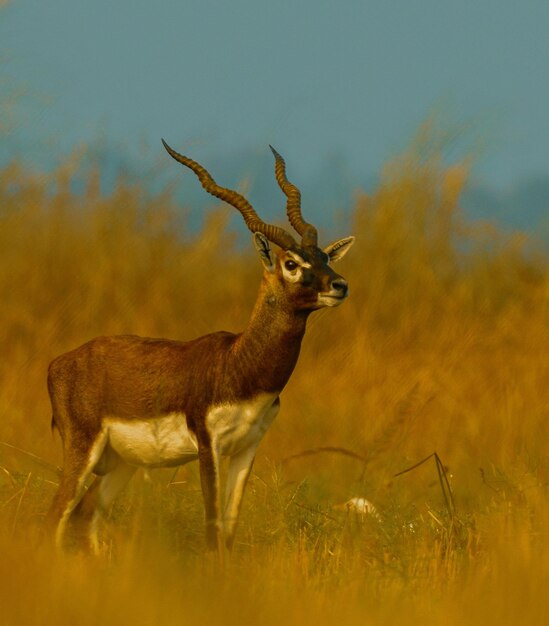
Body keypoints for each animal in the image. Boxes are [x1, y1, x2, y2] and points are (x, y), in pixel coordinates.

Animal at [48, 140, 356, 552]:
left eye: (323, 256)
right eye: (291, 263)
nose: (339, 285)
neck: (237, 362)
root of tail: (60, 363)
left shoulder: (247, 448)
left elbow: (229, 529)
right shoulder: (209, 446)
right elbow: (212, 528)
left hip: (123, 463)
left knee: (84, 517)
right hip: (84, 449)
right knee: (56, 515)